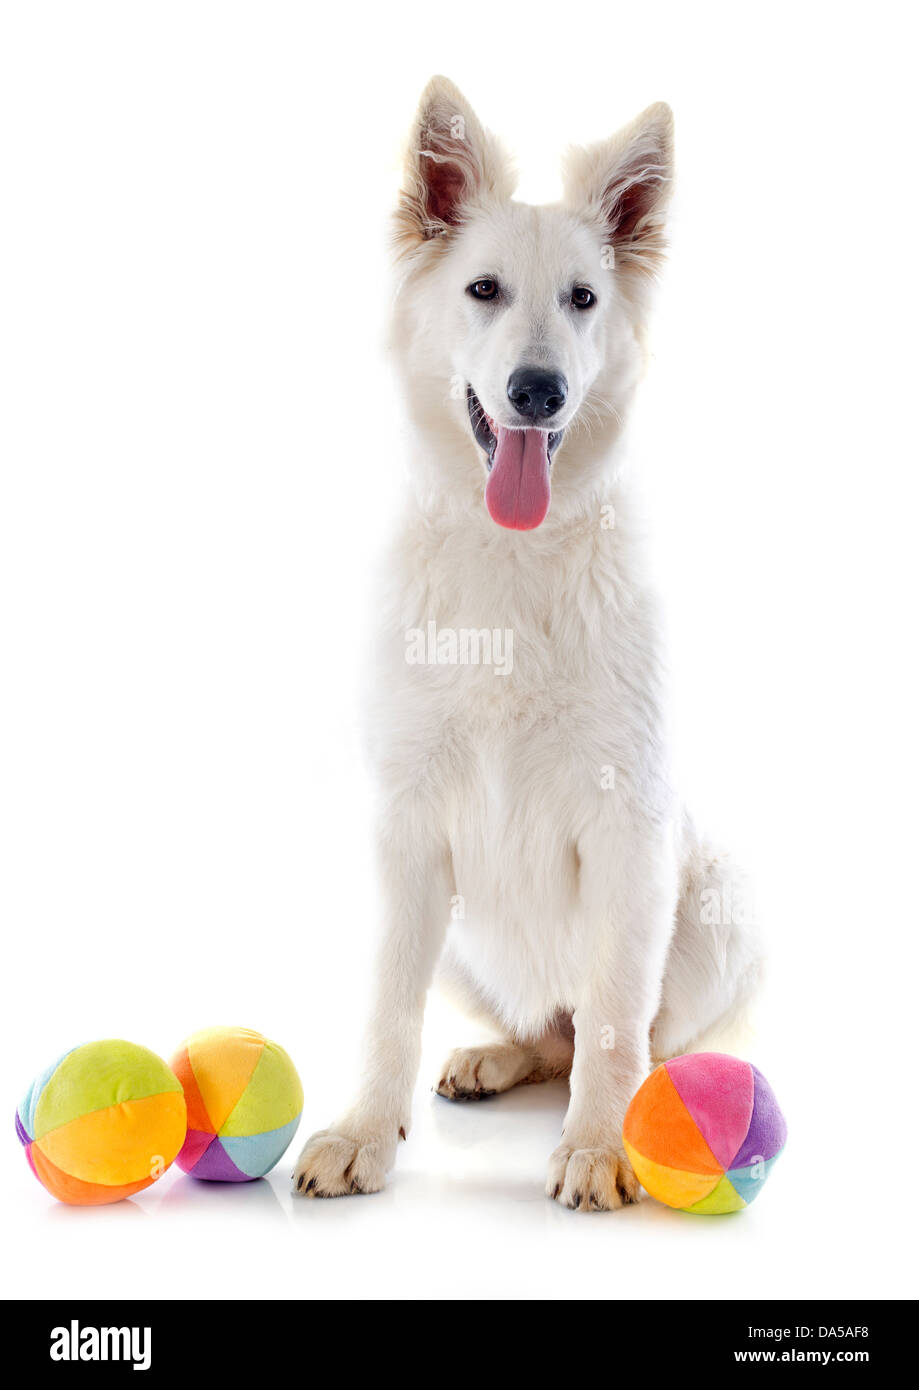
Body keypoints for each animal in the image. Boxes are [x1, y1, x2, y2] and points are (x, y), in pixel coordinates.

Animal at [291, 78, 761, 1206]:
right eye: (484, 291)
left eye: (583, 299)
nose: (537, 391)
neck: (513, 554)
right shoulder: (406, 830)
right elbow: (387, 1006)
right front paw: (365, 1132)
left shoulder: (630, 827)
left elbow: (615, 1021)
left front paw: (601, 1145)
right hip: (466, 934)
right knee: (544, 1030)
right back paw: (492, 1059)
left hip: (713, 905)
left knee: (622, 1032)